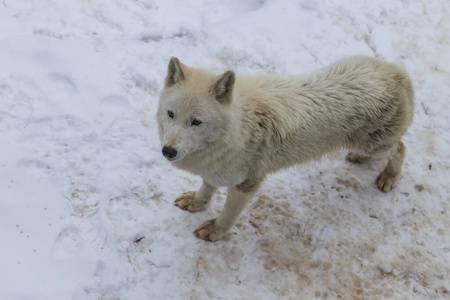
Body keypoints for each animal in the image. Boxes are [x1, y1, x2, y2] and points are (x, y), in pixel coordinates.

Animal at [158, 55, 414, 240]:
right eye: (171, 114)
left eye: (196, 122)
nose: (168, 151)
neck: (241, 125)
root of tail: (397, 72)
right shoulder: (216, 168)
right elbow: (207, 187)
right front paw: (196, 202)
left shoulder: (247, 184)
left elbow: (228, 213)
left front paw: (216, 231)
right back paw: (361, 159)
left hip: (375, 146)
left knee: (401, 147)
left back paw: (389, 176)